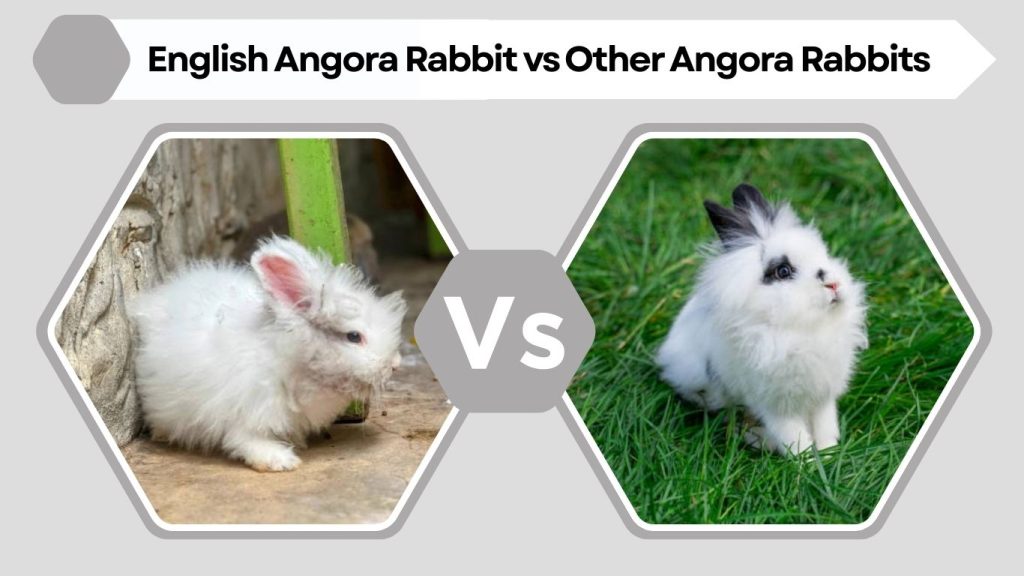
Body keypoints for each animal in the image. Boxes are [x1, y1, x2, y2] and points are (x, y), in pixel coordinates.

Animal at [130, 236, 407, 472]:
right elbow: (246, 440)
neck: (288, 361)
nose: (396, 364)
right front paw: (280, 461)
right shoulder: (248, 409)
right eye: (353, 336)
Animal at [655, 184, 867, 455]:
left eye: (824, 255)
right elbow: (794, 436)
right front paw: (808, 462)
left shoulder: (822, 396)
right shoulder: (775, 405)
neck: (803, 329)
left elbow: (825, 427)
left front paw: (829, 454)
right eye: (783, 271)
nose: (834, 284)